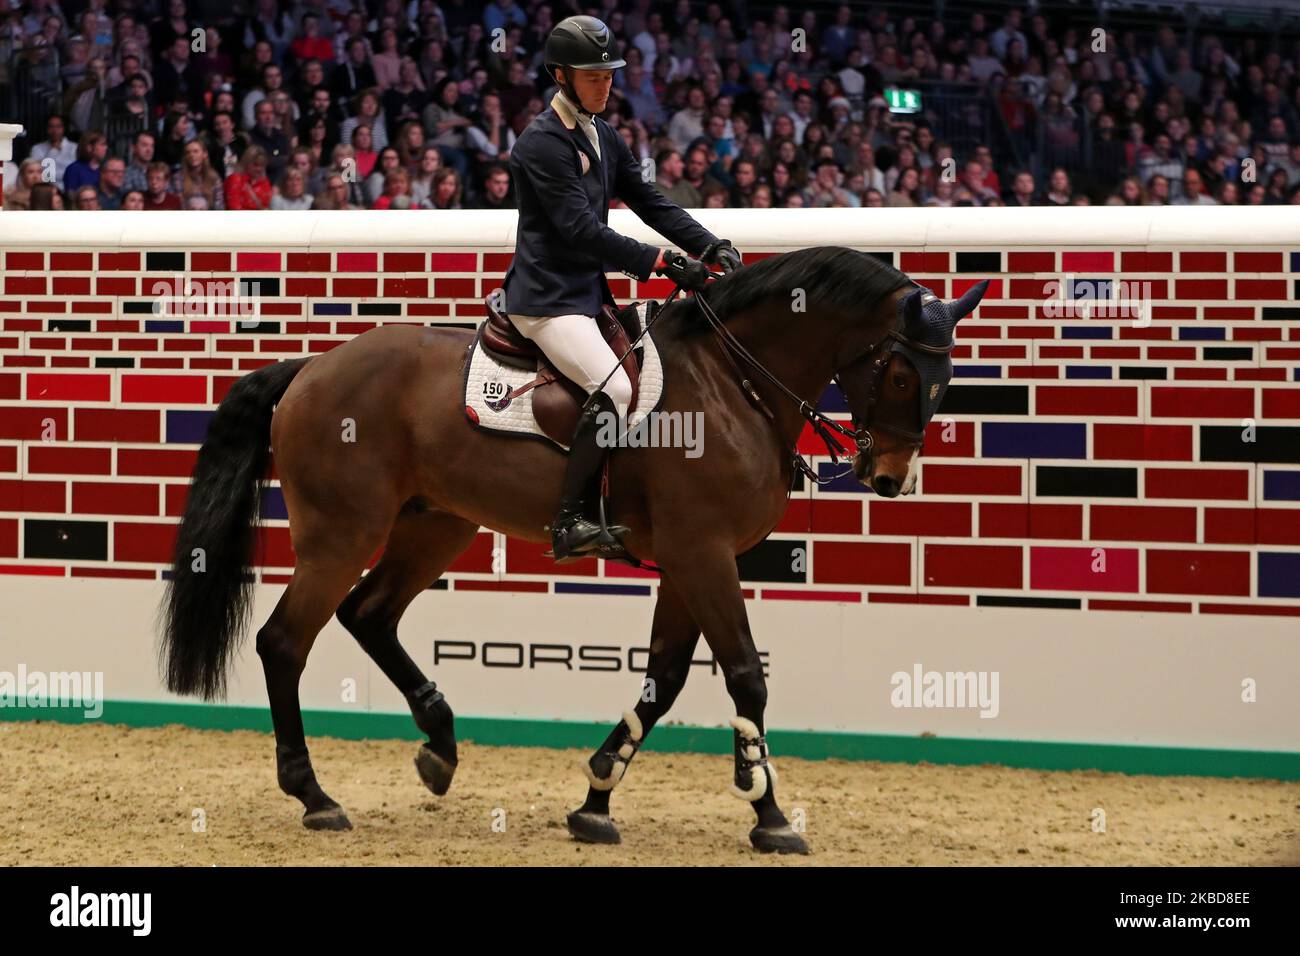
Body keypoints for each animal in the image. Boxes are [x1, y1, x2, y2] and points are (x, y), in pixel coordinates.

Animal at [156, 245, 987, 854]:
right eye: (903, 372)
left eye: (946, 381)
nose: (891, 479)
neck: (733, 383)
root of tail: (310, 368)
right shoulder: (704, 554)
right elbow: (745, 677)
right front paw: (769, 814)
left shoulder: (687, 563)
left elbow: (663, 681)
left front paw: (596, 797)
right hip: (342, 534)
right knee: (284, 641)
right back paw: (315, 795)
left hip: (437, 525)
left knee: (370, 615)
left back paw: (439, 747)